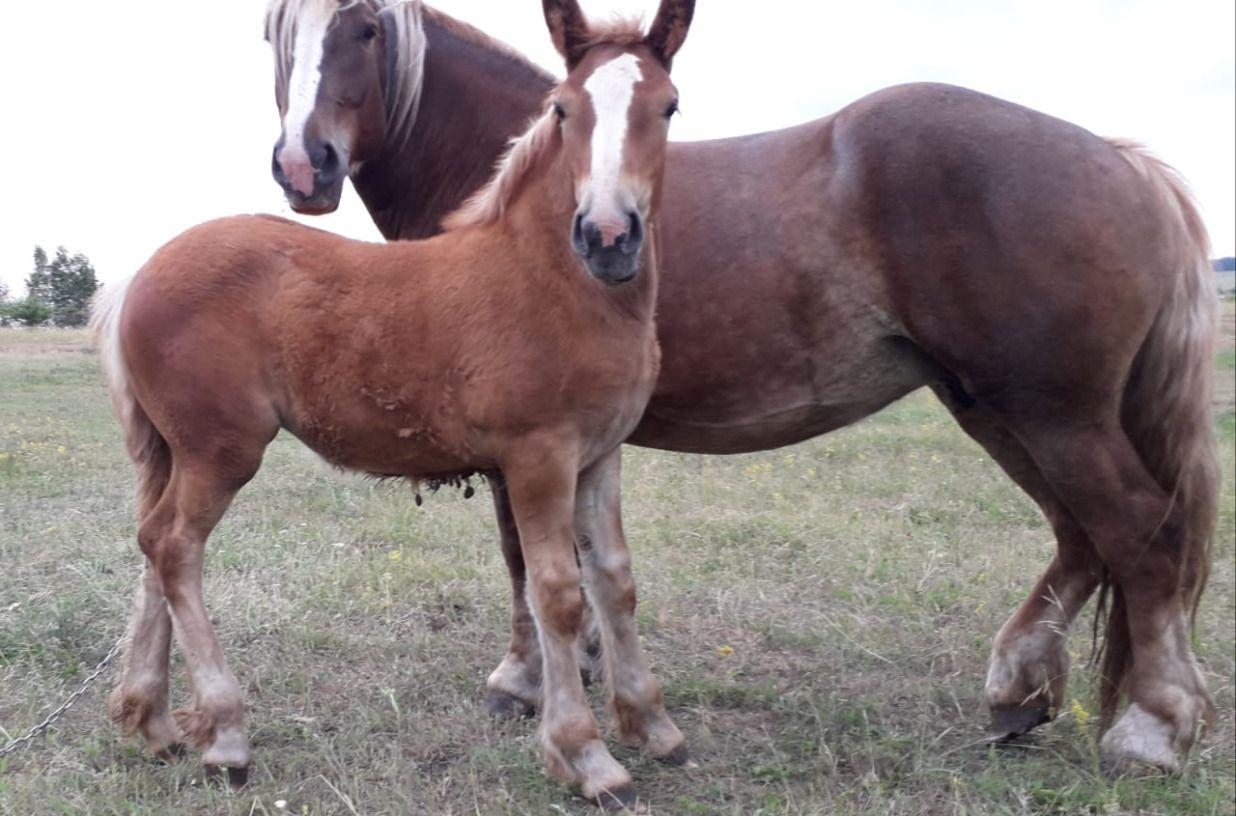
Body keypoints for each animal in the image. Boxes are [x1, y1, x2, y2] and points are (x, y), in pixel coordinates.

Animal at [90, 0, 697, 801]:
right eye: (564, 109)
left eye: (669, 106)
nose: (607, 236)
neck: (553, 281)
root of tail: (143, 270)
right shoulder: (538, 456)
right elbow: (558, 593)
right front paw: (586, 755)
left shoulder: (600, 457)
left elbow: (616, 583)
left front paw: (654, 726)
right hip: (219, 451)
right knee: (173, 547)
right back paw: (226, 736)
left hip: (173, 450)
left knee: (149, 548)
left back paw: (155, 722)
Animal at [268, 0, 1216, 771]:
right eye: (277, 33)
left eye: (365, 30)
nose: (304, 166)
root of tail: (1123, 162)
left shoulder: (526, 440)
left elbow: (523, 560)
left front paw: (527, 680)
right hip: (999, 409)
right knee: (1084, 536)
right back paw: (1020, 690)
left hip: (1056, 415)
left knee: (1140, 530)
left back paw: (1153, 728)